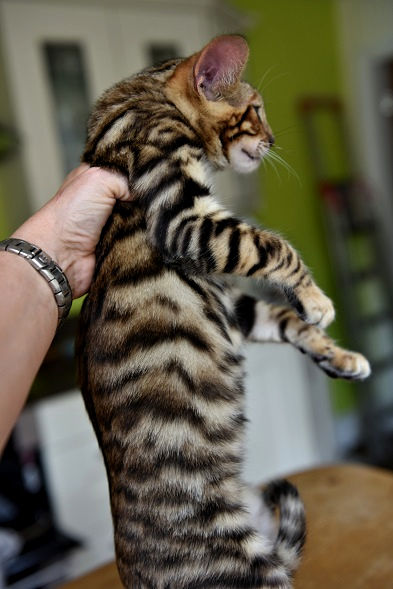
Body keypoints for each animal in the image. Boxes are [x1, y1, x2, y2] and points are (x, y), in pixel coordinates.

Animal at [78, 36, 370, 588]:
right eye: (254, 110)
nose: (273, 140)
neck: (145, 96)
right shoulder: (186, 220)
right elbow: (276, 246)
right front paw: (318, 299)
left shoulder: (229, 298)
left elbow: (282, 317)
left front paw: (337, 354)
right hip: (243, 567)